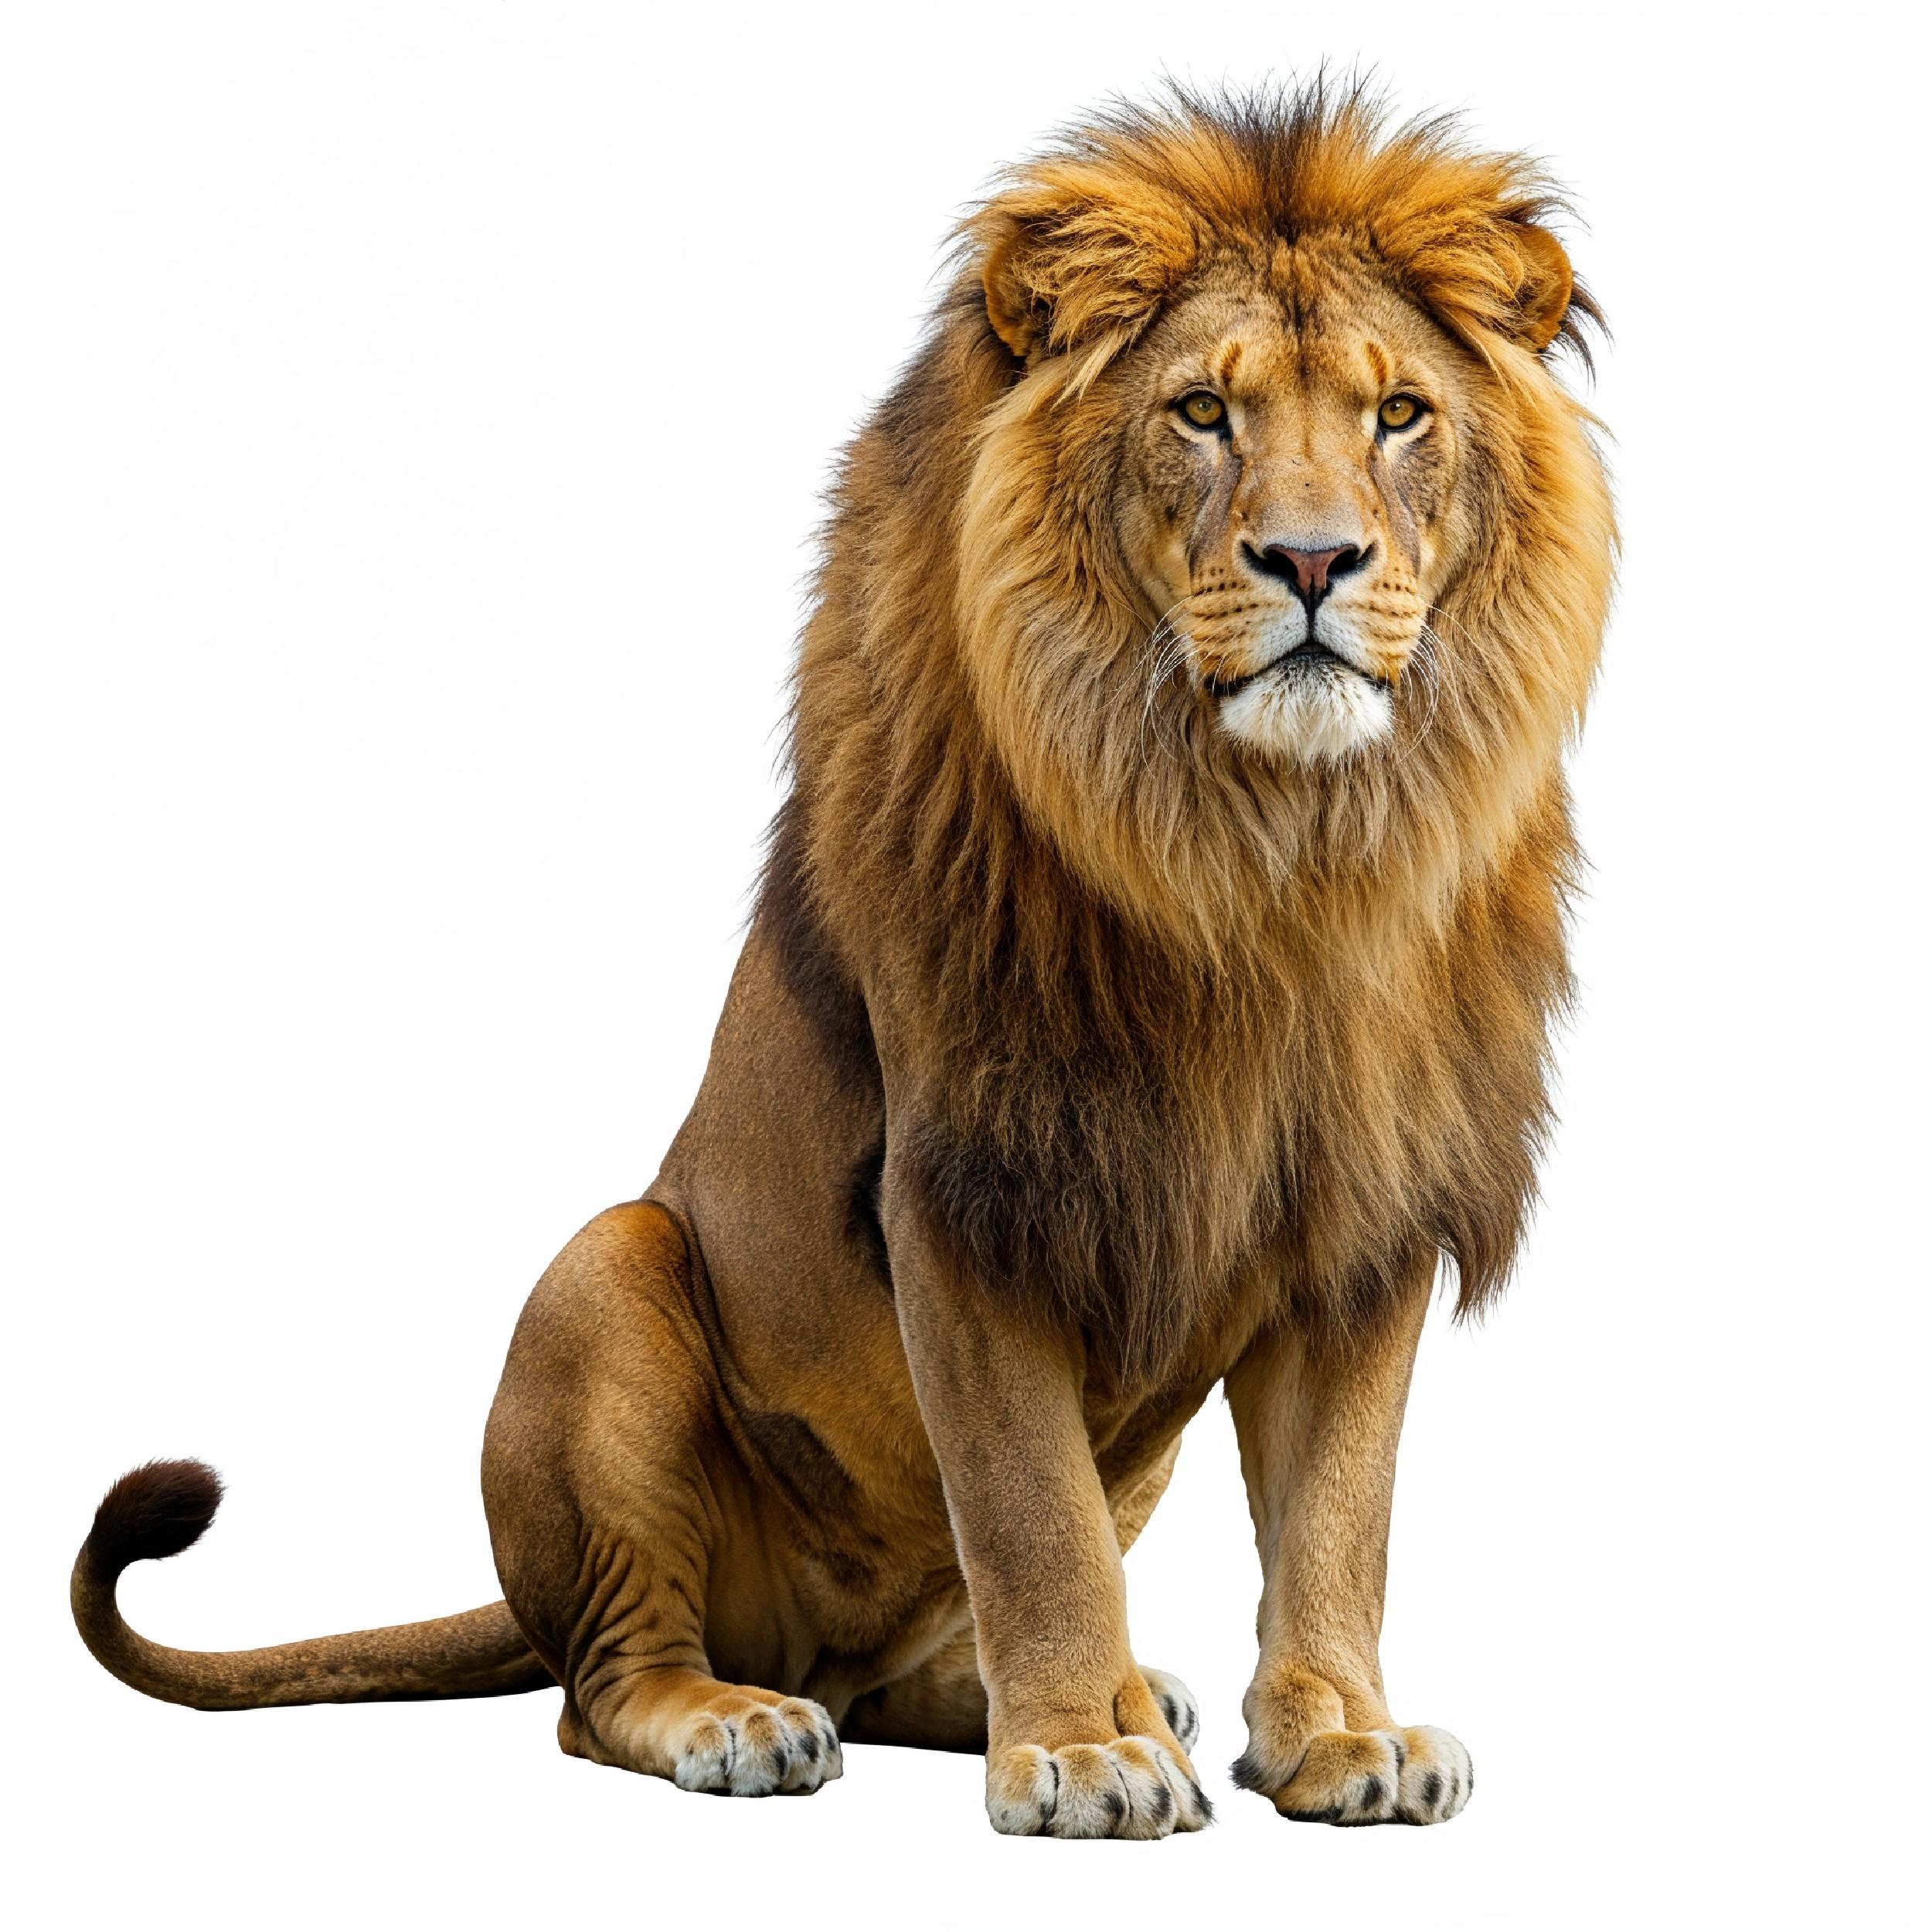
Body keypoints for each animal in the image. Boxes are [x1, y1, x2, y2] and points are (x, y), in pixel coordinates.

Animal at [72, 84, 1614, 1838]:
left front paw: (1336, 1730)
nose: (1310, 563)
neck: (1266, 853)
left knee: (895, 1667)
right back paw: (750, 1720)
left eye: (1401, 415)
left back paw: (1075, 1691)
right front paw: (1078, 1751)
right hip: (609, 1273)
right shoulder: (971, 1180)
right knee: (602, 1684)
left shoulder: (1368, 1198)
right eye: (1203, 412)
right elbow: (1028, 1509)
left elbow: (1340, 1510)